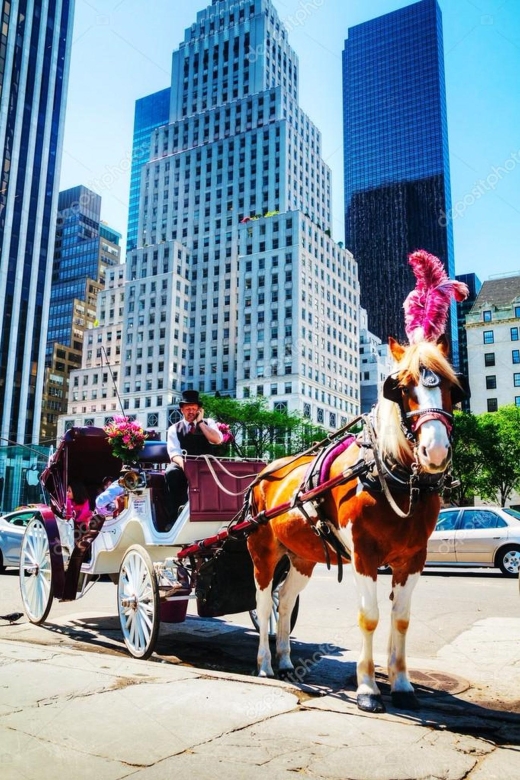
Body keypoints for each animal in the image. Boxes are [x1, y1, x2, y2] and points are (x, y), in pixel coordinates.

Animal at [246, 336, 466, 712]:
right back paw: (263, 664)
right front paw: (367, 688)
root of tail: (263, 472)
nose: (435, 452)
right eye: (401, 388)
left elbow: (401, 618)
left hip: (302, 558)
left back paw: (285, 660)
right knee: (263, 604)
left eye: (453, 388)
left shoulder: (413, 558)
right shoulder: (364, 555)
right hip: (263, 552)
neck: (389, 474)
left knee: (285, 602)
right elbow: (370, 617)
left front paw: (403, 685)